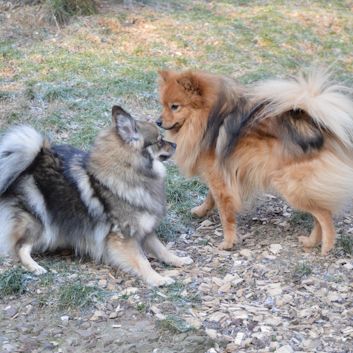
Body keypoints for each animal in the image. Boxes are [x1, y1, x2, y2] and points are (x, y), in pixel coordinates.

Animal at [0, 105, 192, 286]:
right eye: (159, 141)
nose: (175, 145)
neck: (131, 171)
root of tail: (31, 163)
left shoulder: (145, 230)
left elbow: (162, 250)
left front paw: (179, 260)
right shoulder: (124, 237)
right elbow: (142, 261)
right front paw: (158, 278)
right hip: (41, 224)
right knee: (20, 247)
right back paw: (35, 267)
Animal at [157, 69, 352, 254]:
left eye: (175, 107)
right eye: (163, 105)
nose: (158, 122)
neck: (208, 116)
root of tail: (317, 126)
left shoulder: (219, 178)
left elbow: (225, 213)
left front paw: (228, 242)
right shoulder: (219, 175)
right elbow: (211, 196)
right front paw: (201, 211)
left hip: (291, 185)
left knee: (324, 214)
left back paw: (326, 246)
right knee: (321, 213)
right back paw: (311, 242)